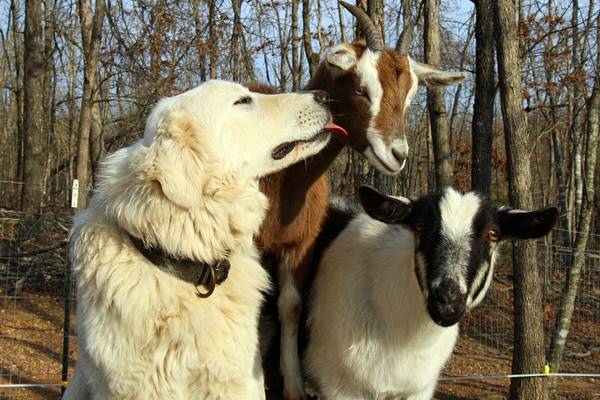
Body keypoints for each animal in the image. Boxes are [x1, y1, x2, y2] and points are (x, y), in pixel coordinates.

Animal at [255, 3, 466, 400]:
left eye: (410, 96)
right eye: (360, 88)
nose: (397, 155)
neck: (286, 181)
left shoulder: (299, 245)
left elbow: (289, 306)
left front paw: (293, 385)